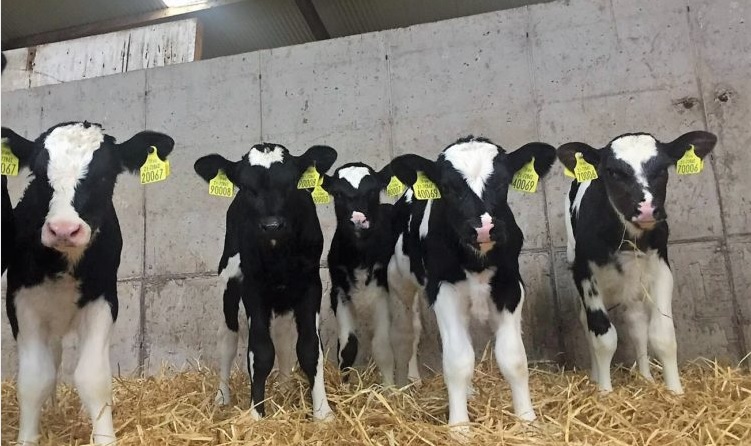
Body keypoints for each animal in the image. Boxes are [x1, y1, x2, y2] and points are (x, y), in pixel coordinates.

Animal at [3, 122, 175, 445]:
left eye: (105, 176)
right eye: (39, 174)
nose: (63, 229)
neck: (65, 265)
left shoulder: (103, 300)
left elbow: (92, 377)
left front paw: (104, 437)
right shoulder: (21, 302)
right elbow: (34, 379)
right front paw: (27, 437)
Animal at [194, 143, 337, 421]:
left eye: (291, 183)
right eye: (246, 187)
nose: (272, 225)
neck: (278, 253)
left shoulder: (311, 284)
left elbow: (310, 348)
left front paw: (323, 413)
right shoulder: (253, 287)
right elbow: (260, 352)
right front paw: (256, 414)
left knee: (282, 337)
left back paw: (284, 387)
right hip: (228, 279)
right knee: (227, 337)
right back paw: (222, 397)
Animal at [322, 162, 402, 385]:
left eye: (373, 191)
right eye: (338, 193)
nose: (358, 220)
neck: (359, 257)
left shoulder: (384, 291)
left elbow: (382, 347)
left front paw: (389, 388)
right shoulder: (339, 292)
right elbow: (347, 347)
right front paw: (344, 387)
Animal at [387, 135, 556, 431]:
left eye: (503, 181)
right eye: (447, 187)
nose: (484, 227)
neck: (476, 261)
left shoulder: (510, 287)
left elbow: (513, 359)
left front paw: (527, 420)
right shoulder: (444, 291)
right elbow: (457, 361)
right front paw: (460, 428)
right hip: (401, 283)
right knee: (410, 330)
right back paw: (410, 381)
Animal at [557, 131, 717, 394]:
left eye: (662, 168)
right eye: (612, 171)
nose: (647, 209)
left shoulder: (662, 268)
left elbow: (662, 335)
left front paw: (675, 392)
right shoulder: (584, 273)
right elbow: (603, 337)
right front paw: (605, 392)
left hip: (634, 282)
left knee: (637, 323)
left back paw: (645, 377)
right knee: (586, 321)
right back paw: (595, 377)